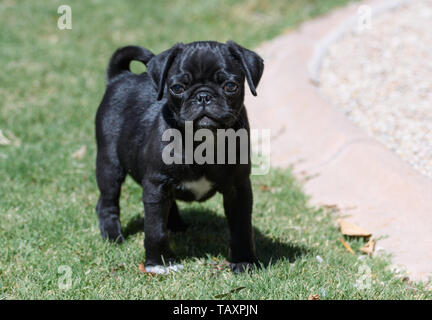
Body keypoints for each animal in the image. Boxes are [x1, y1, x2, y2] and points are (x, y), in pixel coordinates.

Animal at [95, 40, 264, 274]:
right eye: (176, 88)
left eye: (230, 86)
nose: (203, 96)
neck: (202, 140)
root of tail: (120, 77)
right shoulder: (156, 185)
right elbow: (155, 229)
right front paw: (158, 263)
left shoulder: (238, 188)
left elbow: (241, 228)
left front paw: (244, 262)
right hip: (110, 165)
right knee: (107, 201)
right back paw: (113, 237)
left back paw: (176, 225)